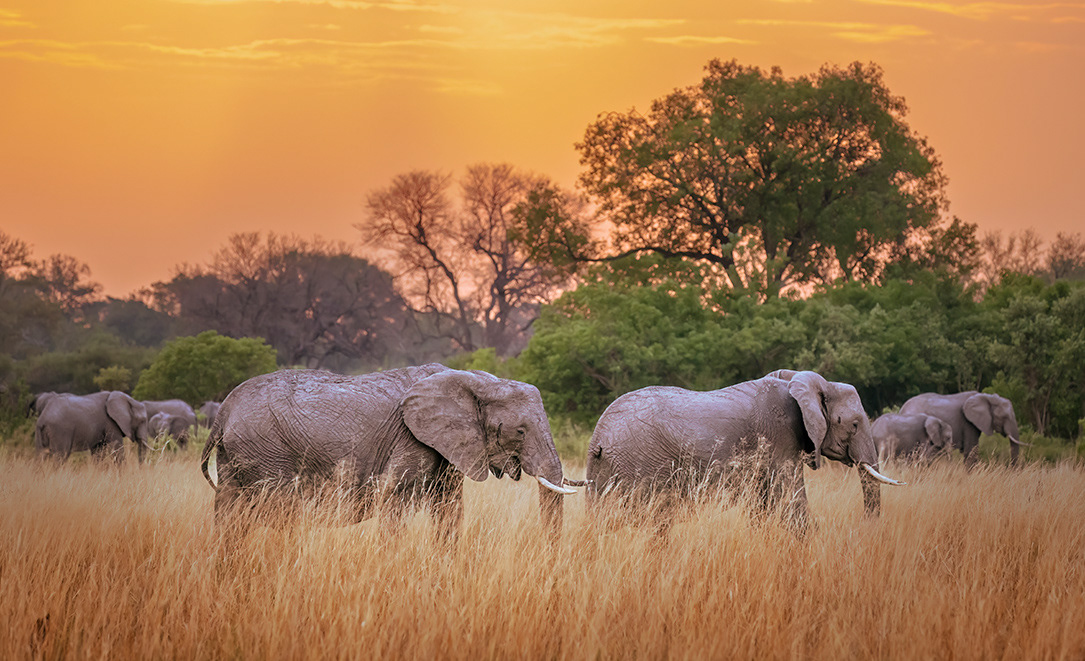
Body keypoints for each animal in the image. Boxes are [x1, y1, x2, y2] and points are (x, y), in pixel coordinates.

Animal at [201, 364, 577, 539]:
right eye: (520, 431)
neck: (475, 380)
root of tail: (223, 412)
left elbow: (449, 507)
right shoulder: (410, 440)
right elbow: (394, 500)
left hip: (237, 456)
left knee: (228, 515)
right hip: (266, 450)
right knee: (279, 512)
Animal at [584, 369, 904, 531]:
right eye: (853, 424)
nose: (867, 527)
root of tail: (598, 438)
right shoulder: (780, 438)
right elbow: (793, 504)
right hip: (641, 463)